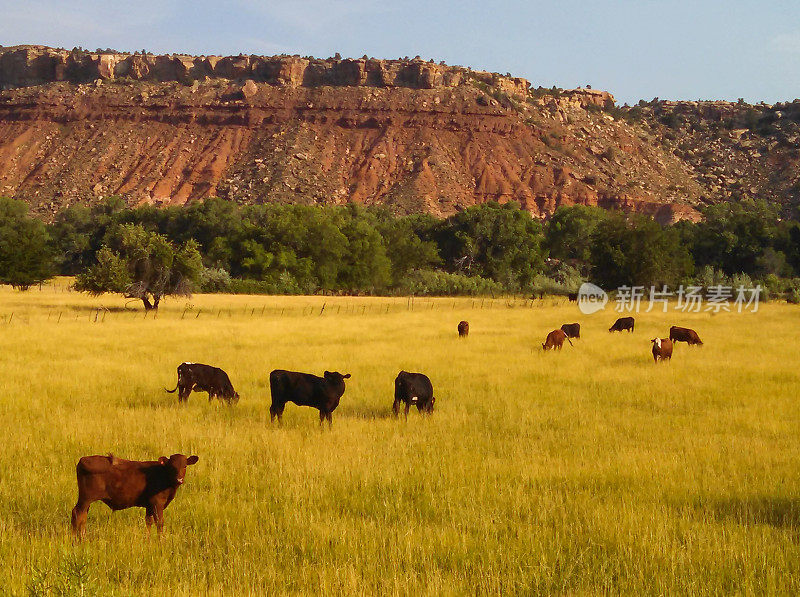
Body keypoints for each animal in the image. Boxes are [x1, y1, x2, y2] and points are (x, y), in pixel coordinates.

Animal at [70, 452, 198, 536]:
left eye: (185, 466)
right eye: (172, 466)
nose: (179, 479)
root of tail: (83, 459)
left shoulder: (149, 505)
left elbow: (148, 522)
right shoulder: (157, 503)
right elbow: (159, 523)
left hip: (87, 500)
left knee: (83, 516)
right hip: (85, 498)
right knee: (77, 514)